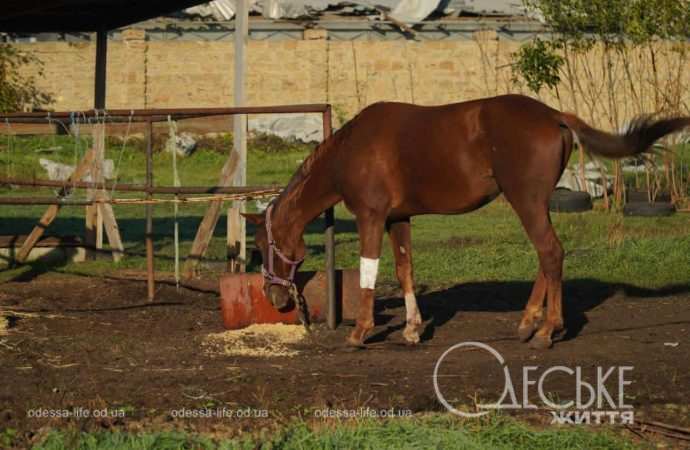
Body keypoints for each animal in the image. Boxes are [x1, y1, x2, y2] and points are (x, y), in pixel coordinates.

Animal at [245, 94, 684, 348]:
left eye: (262, 246)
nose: (275, 297)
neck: (351, 150)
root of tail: (555, 115)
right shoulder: (398, 218)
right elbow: (405, 269)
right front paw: (412, 329)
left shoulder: (371, 217)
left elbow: (370, 270)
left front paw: (360, 331)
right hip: (534, 203)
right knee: (547, 258)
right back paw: (528, 323)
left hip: (526, 200)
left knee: (550, 253)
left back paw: (546, 331)